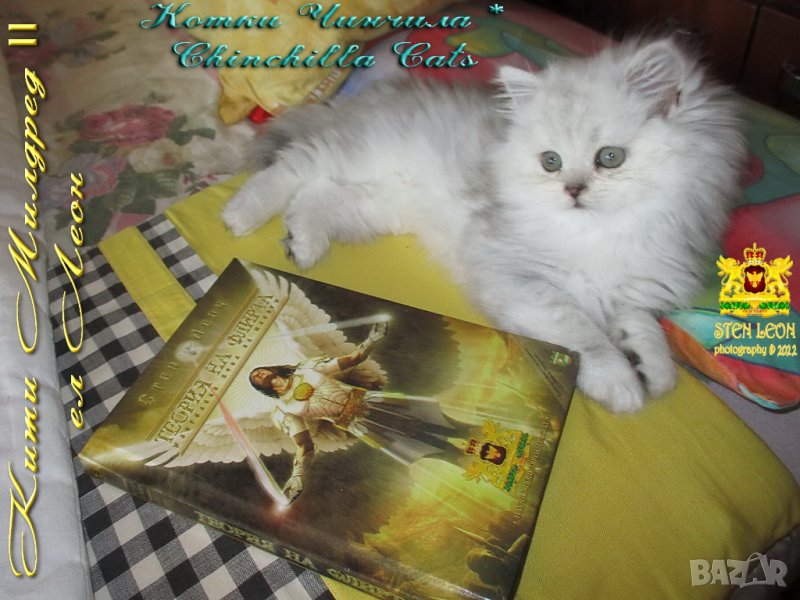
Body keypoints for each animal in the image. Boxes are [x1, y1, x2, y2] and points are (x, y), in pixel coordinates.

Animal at [222, 37, 746, 412]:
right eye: (551, 162)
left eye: (610, 158)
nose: (573, 190)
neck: (604, 232)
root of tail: (374, 95)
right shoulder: (521, 279)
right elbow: (583, 332)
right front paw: (619, 381)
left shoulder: (628, 288)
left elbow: (645, 328)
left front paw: (654, 369)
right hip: (353, 157)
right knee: (289, 172)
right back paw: (241, 215)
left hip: (374, 202)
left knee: (314, 196)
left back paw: (303, 243)